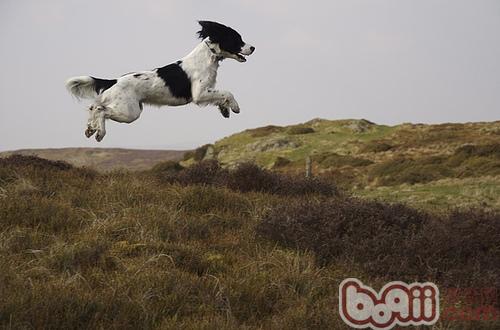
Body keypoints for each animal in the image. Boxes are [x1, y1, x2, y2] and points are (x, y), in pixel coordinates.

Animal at [65, 20, 254, 142]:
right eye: (237, 39)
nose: (253, 47)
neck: (208, 56)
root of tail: (113, 81)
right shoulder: (199, 94)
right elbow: (228, 92)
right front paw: (235, 107)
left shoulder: (208, 90)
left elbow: (221, 96)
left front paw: (225, 110)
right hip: (130, 111)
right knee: (100, 109)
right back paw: (100, 133)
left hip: (128, 109)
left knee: (94, 107)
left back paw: (91, 129)